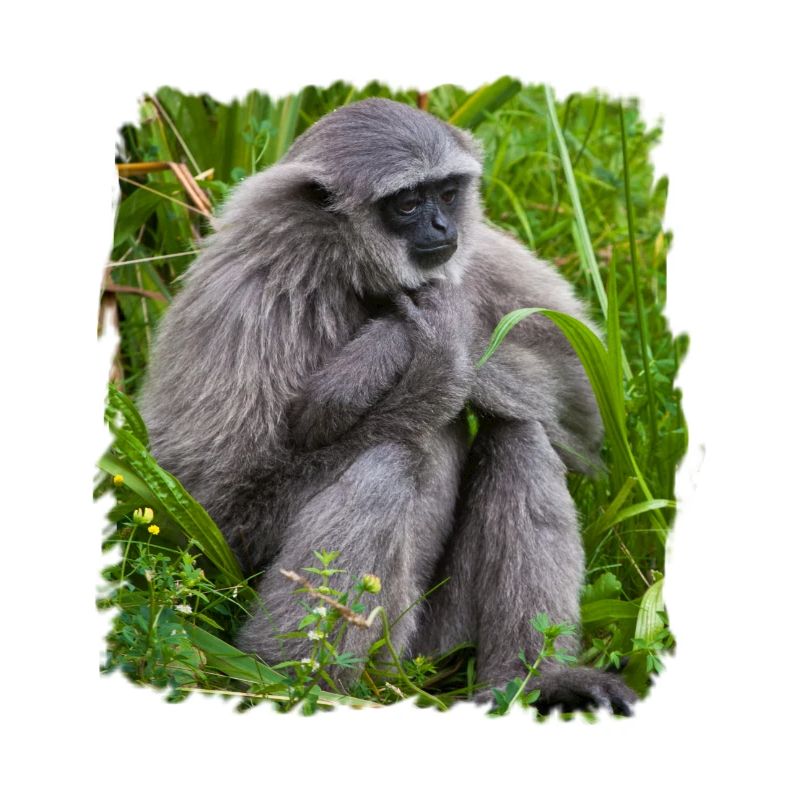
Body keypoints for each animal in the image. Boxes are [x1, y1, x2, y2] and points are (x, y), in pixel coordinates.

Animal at [139, 97, 637, 715]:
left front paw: (400, 340)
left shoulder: (472, 251)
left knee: (519, 433)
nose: (443, 225)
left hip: (439, 639)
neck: (348, 271)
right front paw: (422, 362)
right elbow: (219, 506)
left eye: (446, 192)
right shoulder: (246, 293)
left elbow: (580, 398)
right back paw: (297, 681)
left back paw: (531, 679)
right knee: (389, 461)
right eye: (407, 203)